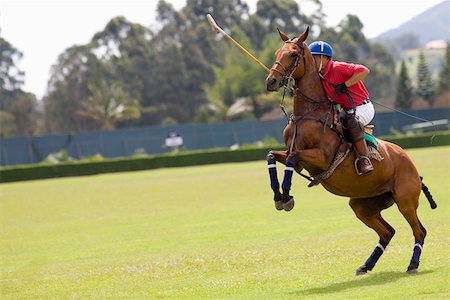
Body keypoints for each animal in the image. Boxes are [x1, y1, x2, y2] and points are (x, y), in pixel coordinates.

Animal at [264, 27, 436, 276]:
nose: (271, 81)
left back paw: (412, 264)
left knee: (419, 230)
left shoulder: (321, 158)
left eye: (294, 53)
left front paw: (286, 195)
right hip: (363, 204)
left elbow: (293, 158)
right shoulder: (294, 155)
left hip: (405, 199)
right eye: (278, 52)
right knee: (387, 232)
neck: (309, 114)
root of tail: (412, 166)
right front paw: (279, 196)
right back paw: (366, 265)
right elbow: (272, 155)